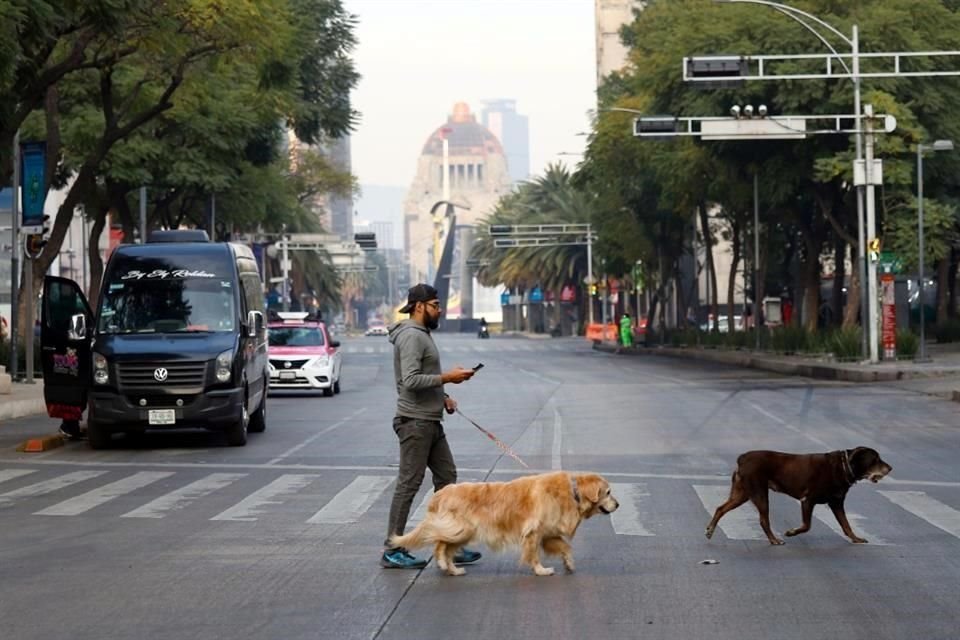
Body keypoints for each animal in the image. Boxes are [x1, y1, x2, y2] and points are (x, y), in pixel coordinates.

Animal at [388, 472, 620, 576]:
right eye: (608, 492)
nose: (618, 504)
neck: (573, 493)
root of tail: (441, 492)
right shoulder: (533, 533)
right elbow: (534, 554)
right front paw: (541, 570)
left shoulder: (548, 533)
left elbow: (565, 546)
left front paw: (569, 563)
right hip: (461, 528)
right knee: (439, 543)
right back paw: (444, 564)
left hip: (464, 532)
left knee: (445, 547)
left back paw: (453, 569)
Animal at [704, 444, 892, 544]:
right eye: (875, 459)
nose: (890, 468)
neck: (844, 467)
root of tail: (742, 458)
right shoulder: (807, 500)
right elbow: (806, 525)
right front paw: (792, 532)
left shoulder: (837, 503)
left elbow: (846, 524)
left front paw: (855, 538)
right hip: (759, 493)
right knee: (764, 520)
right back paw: (774, 540)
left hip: (741, 493)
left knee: (721, 508)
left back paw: (710, 530)